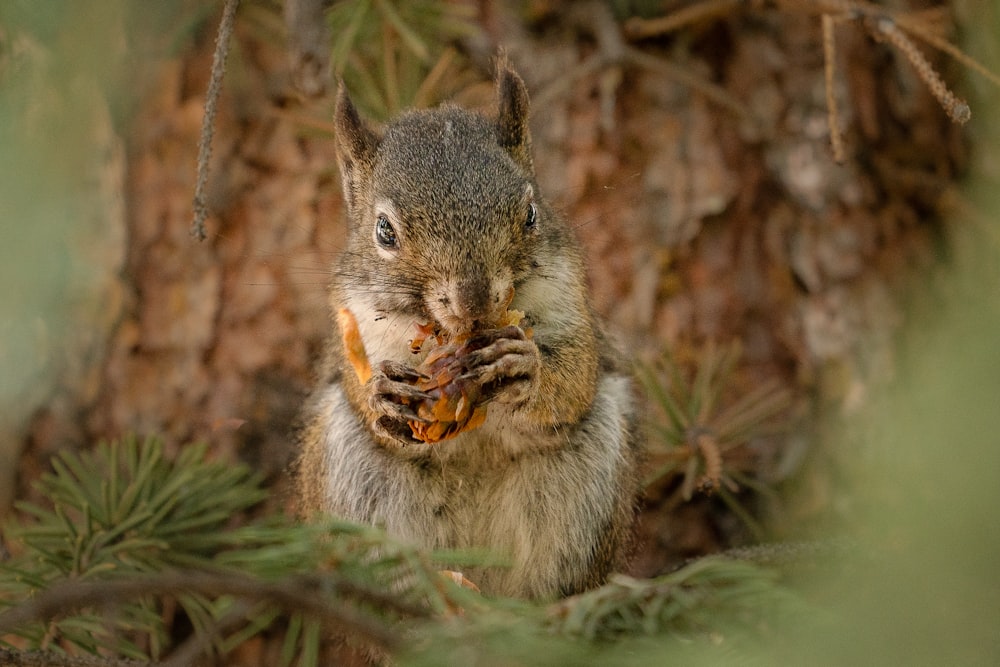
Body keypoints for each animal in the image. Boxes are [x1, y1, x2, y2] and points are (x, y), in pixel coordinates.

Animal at [296, 58, 640, 600]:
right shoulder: (352, 320)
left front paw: (525, 369)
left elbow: (576, 377)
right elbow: (359, 388)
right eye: (384, 232)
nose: (475, 300)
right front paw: (380, 396)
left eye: (531, 213)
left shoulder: (574, 309)